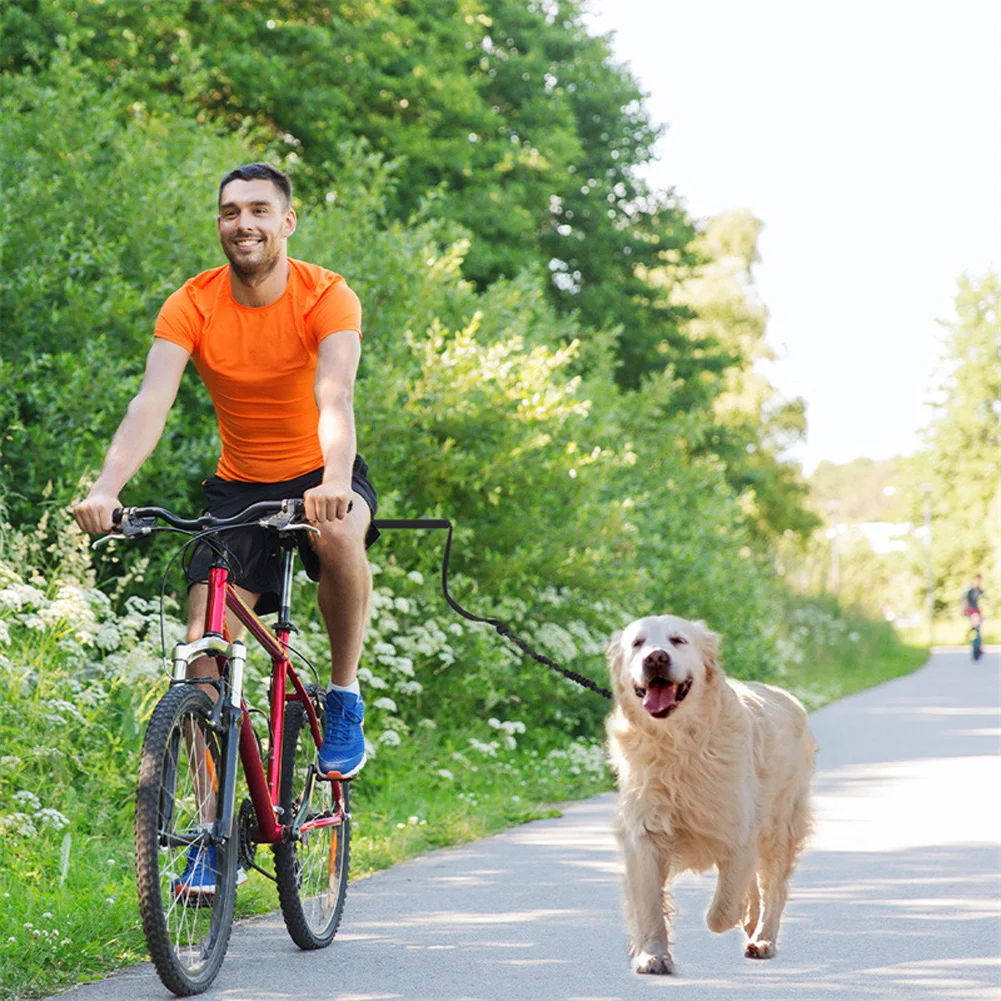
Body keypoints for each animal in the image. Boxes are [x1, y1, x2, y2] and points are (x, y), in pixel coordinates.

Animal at [600, 612, 812, 972]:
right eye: (637, 643)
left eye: (678, 640)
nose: (655, 658)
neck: (677, 745)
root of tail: (788, 697)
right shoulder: (644, 835)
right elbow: (649, 905)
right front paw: (652, 954)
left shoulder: (737, 830)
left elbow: (722, 910)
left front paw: (735, 914)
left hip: (780, 826)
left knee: (774, 889)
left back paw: (763, 938)